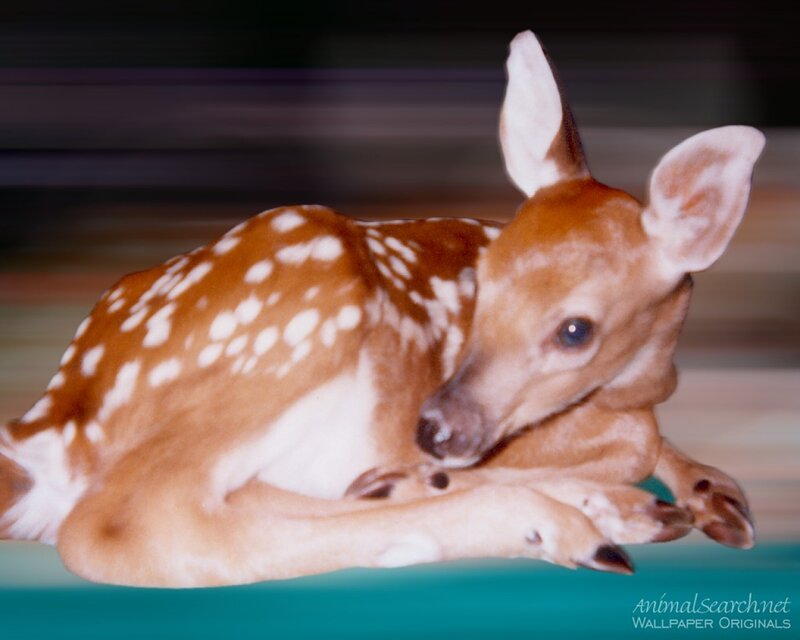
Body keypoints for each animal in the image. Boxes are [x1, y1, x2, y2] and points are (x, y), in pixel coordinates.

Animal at [0, 31, 763, 587]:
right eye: (484, 284)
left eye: (576, 330)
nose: (434, 428)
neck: (647, 379)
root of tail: (50, 422)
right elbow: (636, 438)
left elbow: (650, 438)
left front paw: (715, 495)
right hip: (306, 307)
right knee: (125, 526)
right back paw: (561, 526)